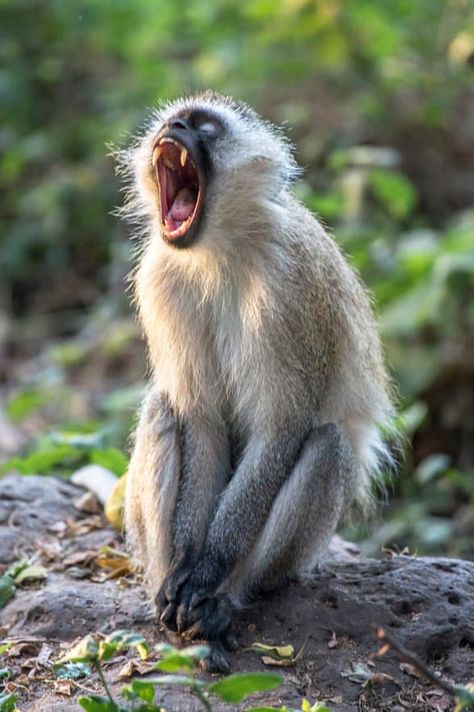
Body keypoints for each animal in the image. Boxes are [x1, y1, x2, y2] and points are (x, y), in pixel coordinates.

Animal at [118, 92, 392, 672]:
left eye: (204, 126)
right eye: (172, 120)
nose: (175, 127)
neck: (217, 251)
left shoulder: (289, 287)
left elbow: (281, 428)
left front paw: (207, 572)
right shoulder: (160, 277)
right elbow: (200, 421)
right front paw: (187, 567)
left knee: (328, 446)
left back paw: (223, 600)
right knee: (163, 408)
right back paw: (172, 590)